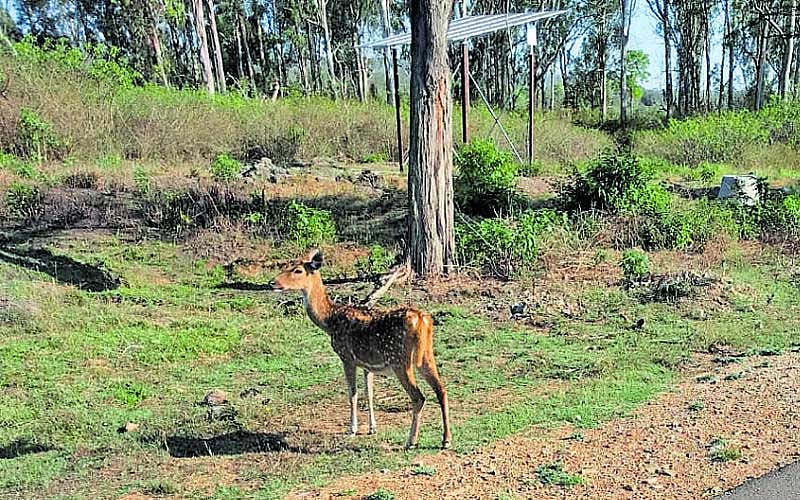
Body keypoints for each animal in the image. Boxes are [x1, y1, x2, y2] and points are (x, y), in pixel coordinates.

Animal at [271, 249, 451, 450]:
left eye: (298, 270)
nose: (272, 283)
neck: (330, 321)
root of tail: (422, 320)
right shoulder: (368, 364)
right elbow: (369, 393)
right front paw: (372, 428)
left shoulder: (346, 356)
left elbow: (353, 394)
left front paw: (352, 429)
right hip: (426, 355)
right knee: (441, 390)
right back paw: (446, 440)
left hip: (399, 360)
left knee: (418, 397)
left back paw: (410, 441)